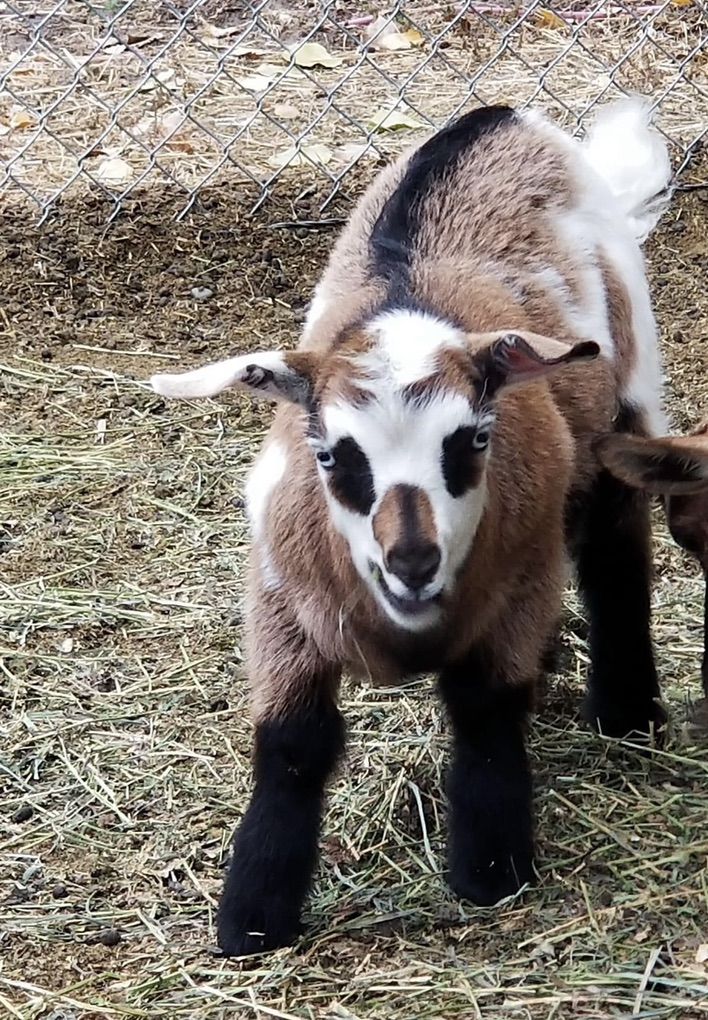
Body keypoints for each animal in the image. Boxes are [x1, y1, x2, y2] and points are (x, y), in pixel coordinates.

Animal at [150, 99, 672, 956]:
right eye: (330, 453)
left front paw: (490, 870)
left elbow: (486, 711)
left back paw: (627, 712)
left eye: (475, 439)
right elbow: (293, 745)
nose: (414, 561)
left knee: (615, 549)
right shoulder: (280, 603)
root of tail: (503, 115)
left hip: (631, 381)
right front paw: (253, 914)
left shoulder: (517, 583)